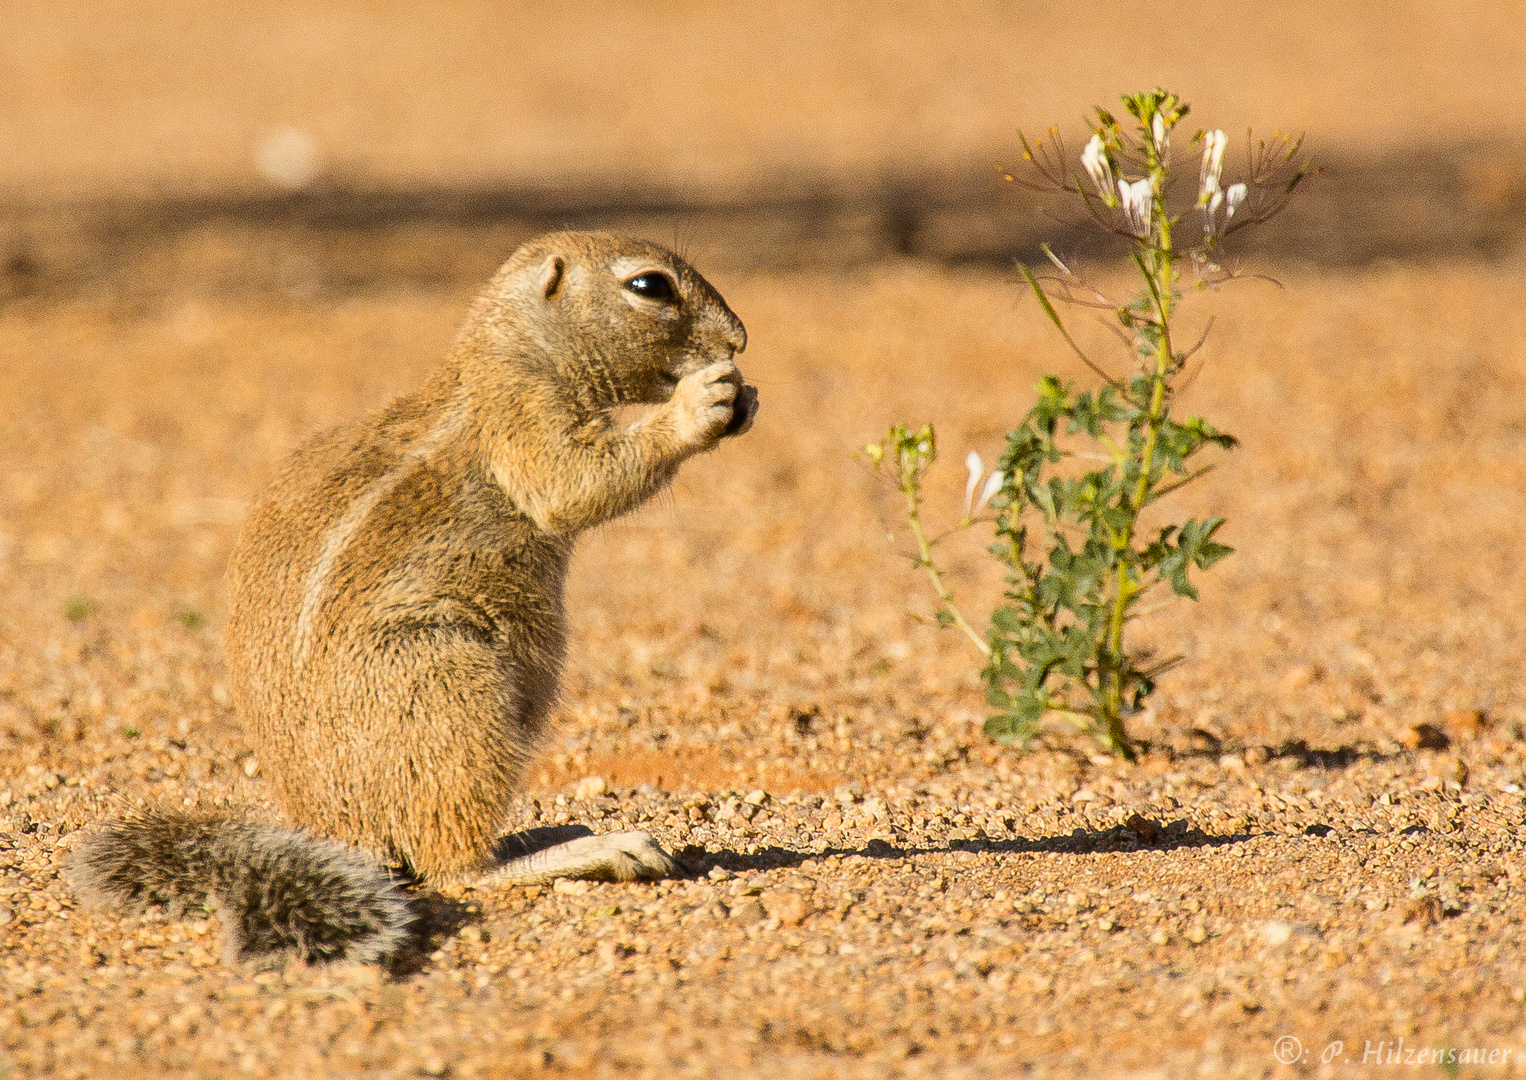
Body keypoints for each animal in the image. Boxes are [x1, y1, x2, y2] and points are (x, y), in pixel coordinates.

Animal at [68, 231, 759, 964]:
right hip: (450, 684)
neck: (511, 350)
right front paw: (703, 403)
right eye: (650, 286)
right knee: (452, 866)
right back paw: (598, 849)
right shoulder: (521, 416)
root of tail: (340, 832)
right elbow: (574, 482)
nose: (739, 339)